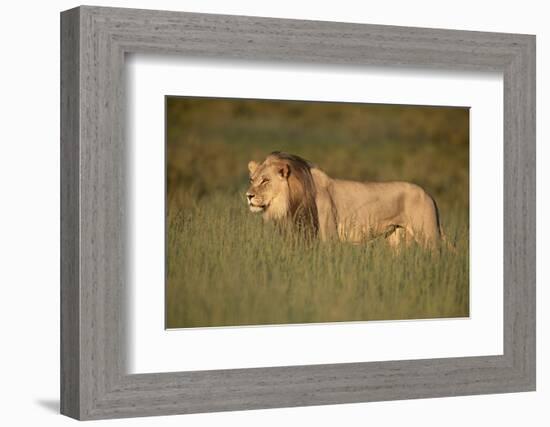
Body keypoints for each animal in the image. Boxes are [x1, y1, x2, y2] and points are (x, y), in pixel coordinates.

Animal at [248, 152, 450, 249]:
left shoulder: (327, 237)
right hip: (397, 238)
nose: (248, 196)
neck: (290, 202)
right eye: (252, 180)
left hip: (428, 236)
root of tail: (429, 194)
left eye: (265, 180)